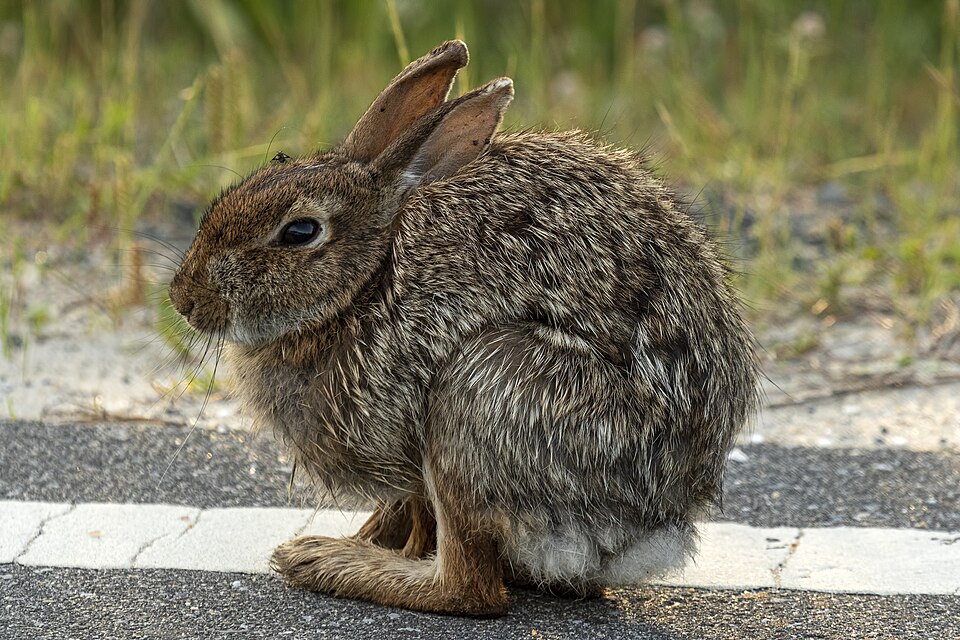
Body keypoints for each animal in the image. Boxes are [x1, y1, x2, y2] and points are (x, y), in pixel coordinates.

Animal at [168, 39, 759, 617]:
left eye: (300, 232)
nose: (184, 300)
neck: (368, 281)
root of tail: (654, 526)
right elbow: (401, 515)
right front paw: (371, 537)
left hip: (480, 396)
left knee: (469, 589)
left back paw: (323, 561)